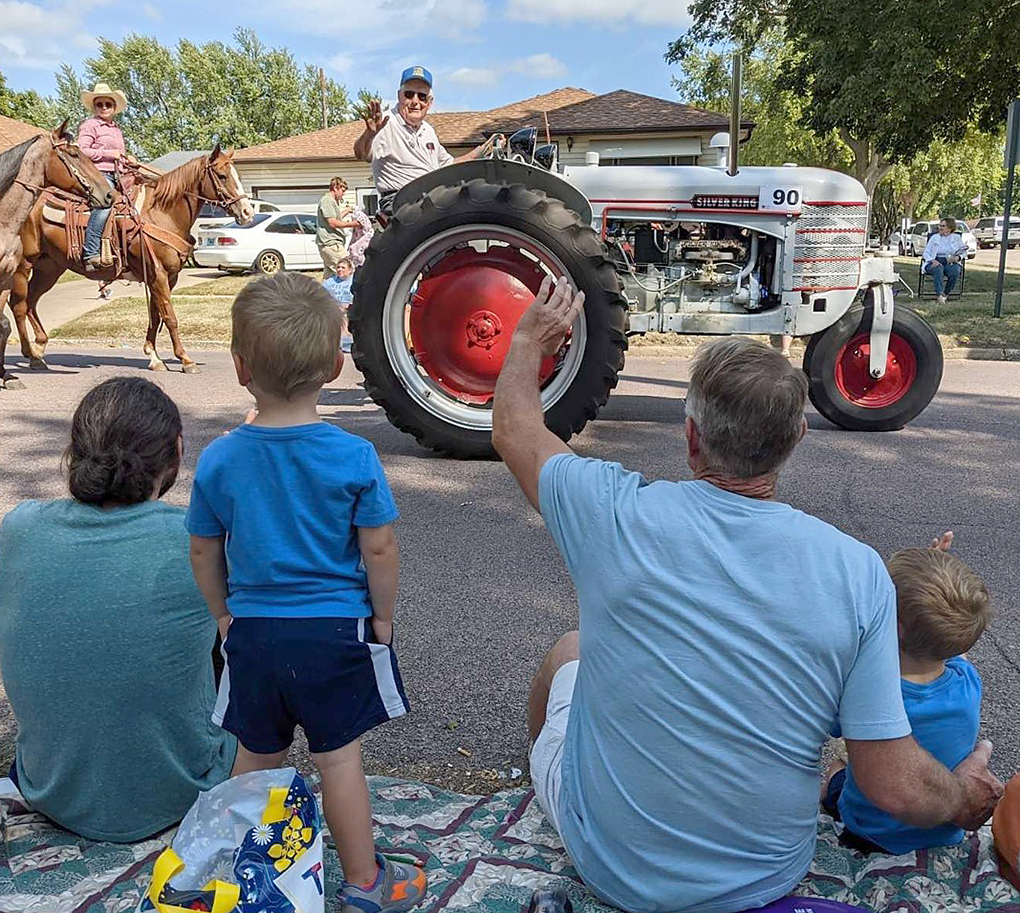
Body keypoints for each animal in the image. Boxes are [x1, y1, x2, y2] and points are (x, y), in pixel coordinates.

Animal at [10, 142, 255, 375]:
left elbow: (156, 315)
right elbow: (170, 317)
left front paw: (154, 357)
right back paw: (31, 354)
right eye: (222, 176)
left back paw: (39, 348)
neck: (162, 214)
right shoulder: (158, 275)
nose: (247, 213)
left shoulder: (166, 277)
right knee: (18, 305)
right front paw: (186, 359)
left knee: (31, 301)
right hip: (23, 264)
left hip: (49, 267)